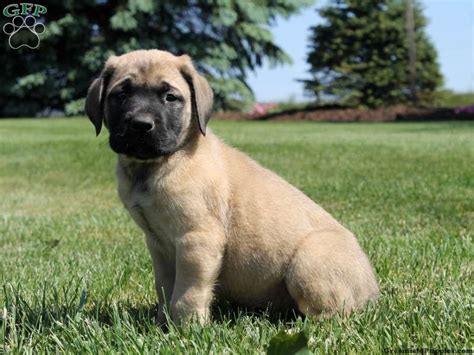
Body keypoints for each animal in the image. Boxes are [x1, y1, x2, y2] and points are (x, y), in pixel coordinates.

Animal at [85, 50, 380, 326]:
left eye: (170, 97)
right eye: (121, 94)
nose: (141, 125)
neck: (157, 166)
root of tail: (372, 290)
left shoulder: (197, 240)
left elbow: (188, 293)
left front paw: (185, 329)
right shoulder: (158, 244)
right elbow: (164, 288)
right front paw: (161, 323)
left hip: (308, 261)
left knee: (331, 314)